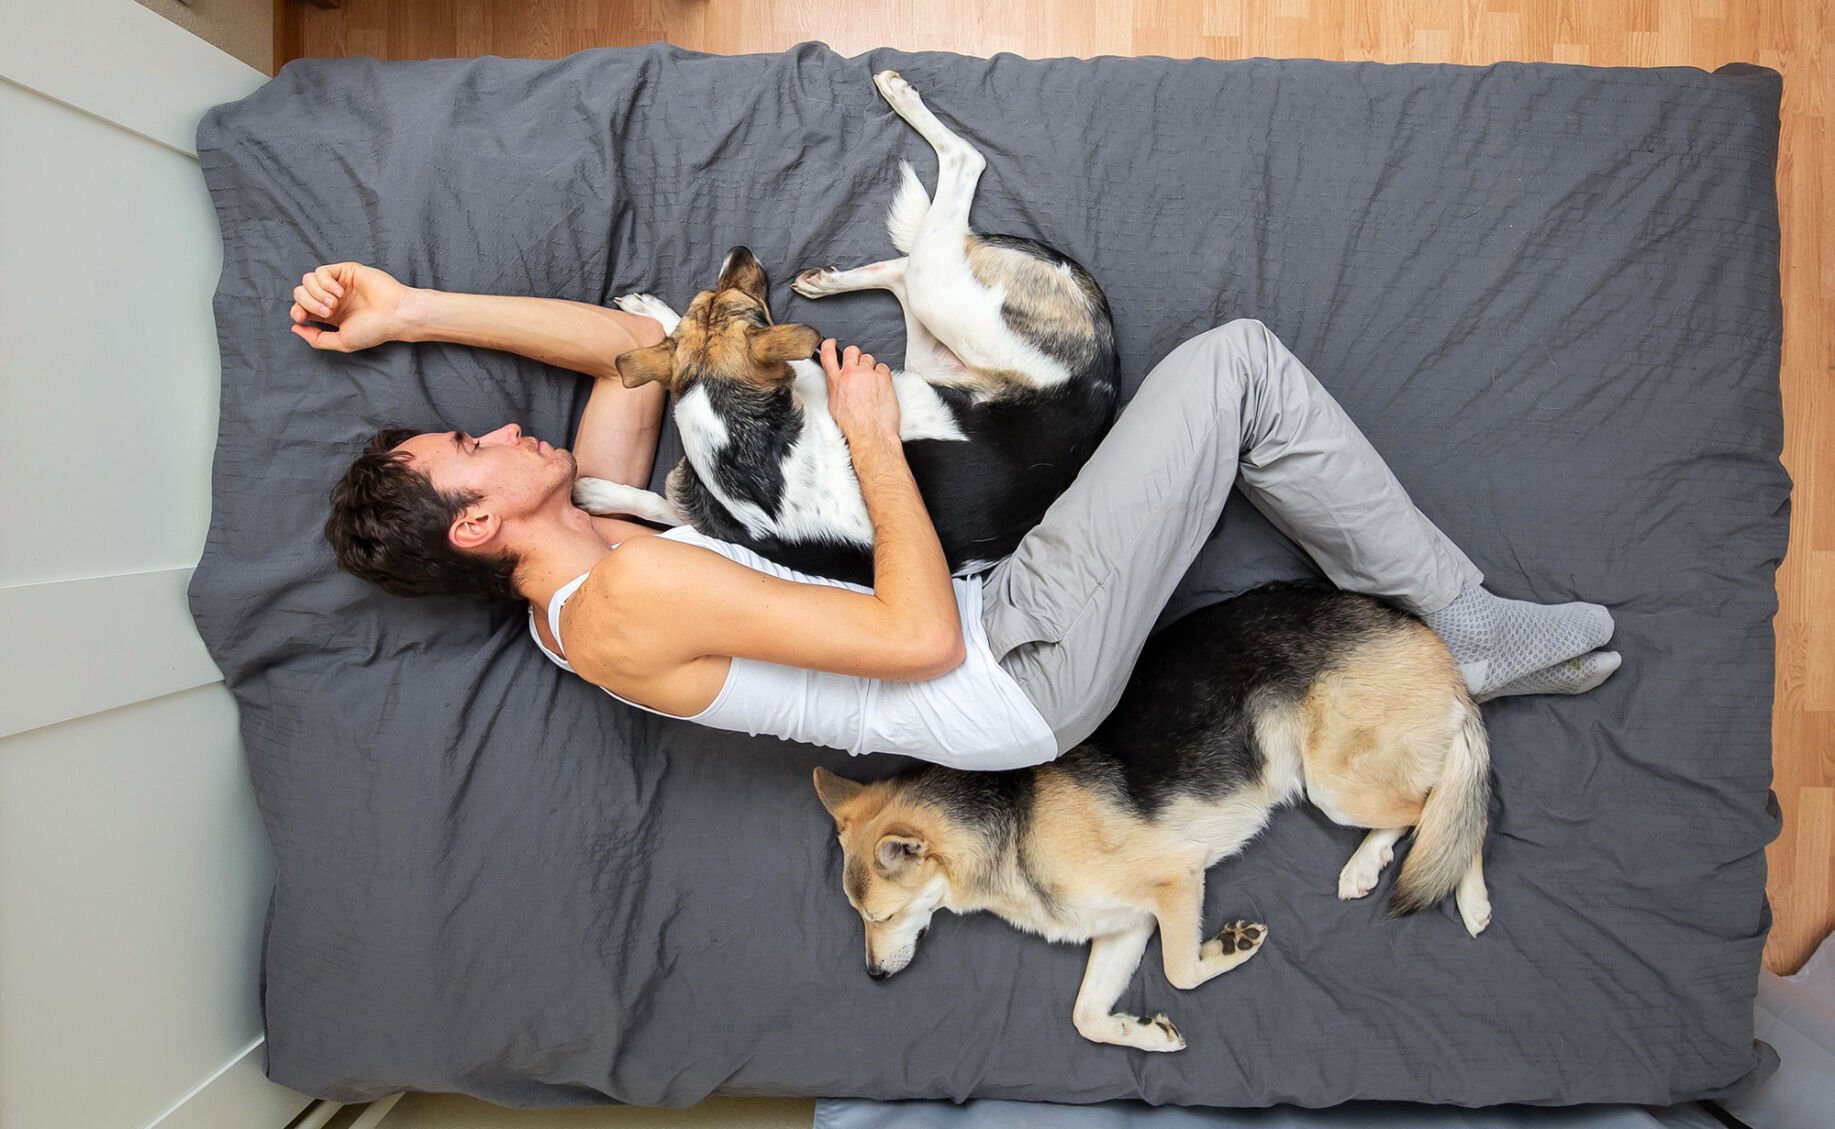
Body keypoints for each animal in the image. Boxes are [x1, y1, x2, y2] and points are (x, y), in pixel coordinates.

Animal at [568, 70, 1115, 583]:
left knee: (958, 177)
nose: (740, 249)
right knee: (920, 241)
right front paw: (593, 492)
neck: (752, 459)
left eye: (731, 298)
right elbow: (659, 500)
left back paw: (898, 101)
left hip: (947, 299)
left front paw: (657, 314)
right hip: (937, 325)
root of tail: (1105, 369)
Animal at [814, 587, 1490, 1057]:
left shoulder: (1177, 881)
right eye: (861, 918)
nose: (873, 978)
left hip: (1334, 784)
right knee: (1439, 809)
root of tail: (1430, 641)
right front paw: (1142, 1033)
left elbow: (1181, 971)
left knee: (1450, 811)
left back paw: (1466, 893)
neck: (1009, 831)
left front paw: (1231, 947)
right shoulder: (1126, 927)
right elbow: (1085, 1018)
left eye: (881, 918)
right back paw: (1368, 867)